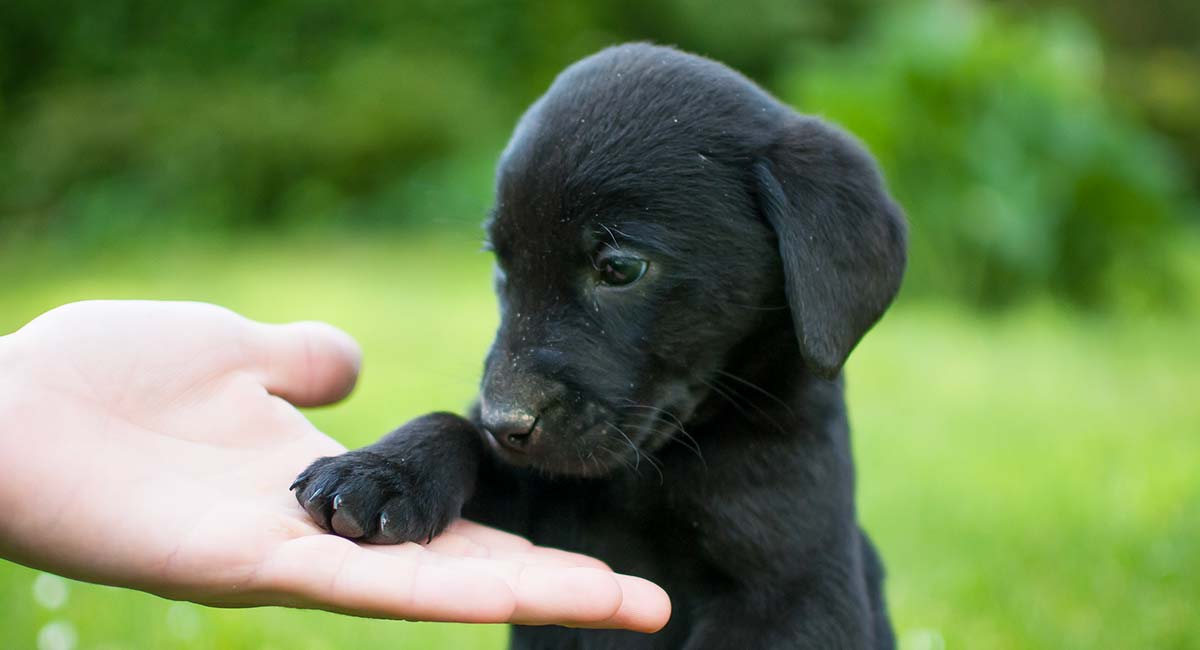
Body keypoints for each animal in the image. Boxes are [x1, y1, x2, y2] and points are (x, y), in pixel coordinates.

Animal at [290, 43, 902, 647]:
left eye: (621, 269)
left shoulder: (793, 593)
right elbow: (450, 425)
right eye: (503, 266)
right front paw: (381, 472)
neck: (649, 471)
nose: (504, 423)